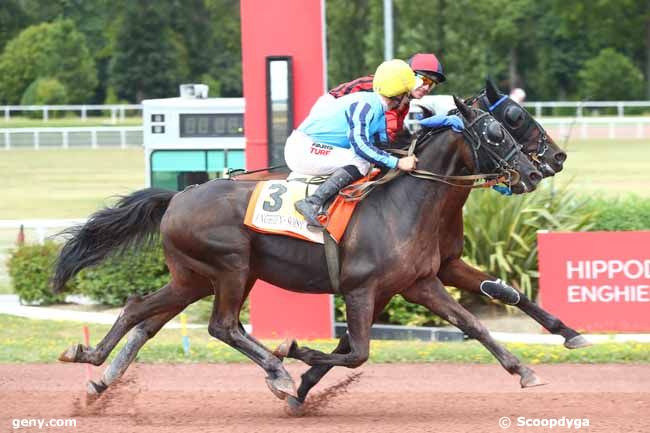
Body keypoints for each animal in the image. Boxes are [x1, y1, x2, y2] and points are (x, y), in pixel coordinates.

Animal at [53, 98, 544, 404]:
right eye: (498, 131)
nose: (534, 171)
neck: (405, 203)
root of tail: (177, 197)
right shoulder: (361, 289)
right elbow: (357, 352)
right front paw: (296, 354)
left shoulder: (419, 282)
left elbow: (472, 324)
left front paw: (524, 370)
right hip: (229, 267)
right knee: (221, 326)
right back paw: (278, 372)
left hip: (196, 277)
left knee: (142, 311)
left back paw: (94, 367)